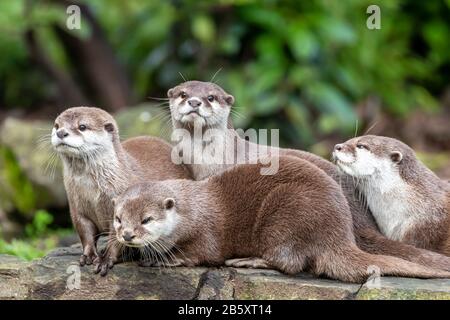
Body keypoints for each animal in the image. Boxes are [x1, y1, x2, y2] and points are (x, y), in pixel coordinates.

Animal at [51, 106, 191, 274]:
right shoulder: (77, 205)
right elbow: (85, 232)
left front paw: (105, 260)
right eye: (57, 125)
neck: (92, 192)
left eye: (82, 126)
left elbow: (117, 235)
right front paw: (89, 255)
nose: (60, 133)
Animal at [107, 156, 450, 282]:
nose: (128, 235)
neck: (194, 209)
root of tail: (339, 234)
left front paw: (163, 259)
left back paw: (249, 261)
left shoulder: (207, 231)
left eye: (147, 220)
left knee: (291, 263)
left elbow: (201, 253)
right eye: (118, 219)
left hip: (286, 215)